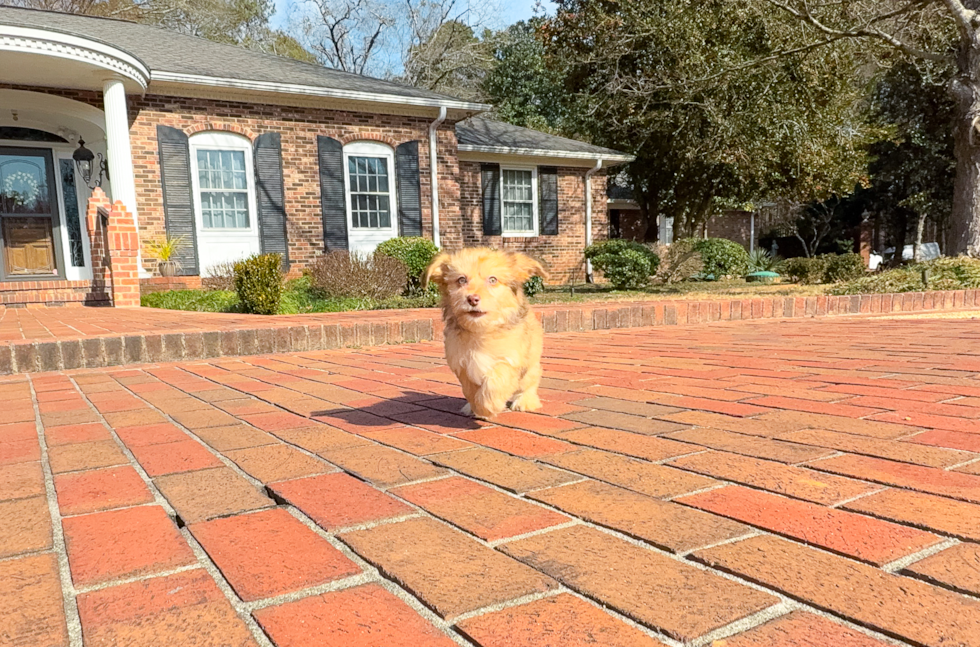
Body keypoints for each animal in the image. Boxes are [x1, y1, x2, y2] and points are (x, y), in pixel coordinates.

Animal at [426, 248, 552, 420]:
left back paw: (525, 401)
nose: (472, 299)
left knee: (530, 381)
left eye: (492, 280)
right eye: (461, 280)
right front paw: (476, 407)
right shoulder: (462, 364)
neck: (481, 330)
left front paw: (488, 407)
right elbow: (470, 390)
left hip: (530, 362)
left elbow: (495, 381)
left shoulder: (510, 359)